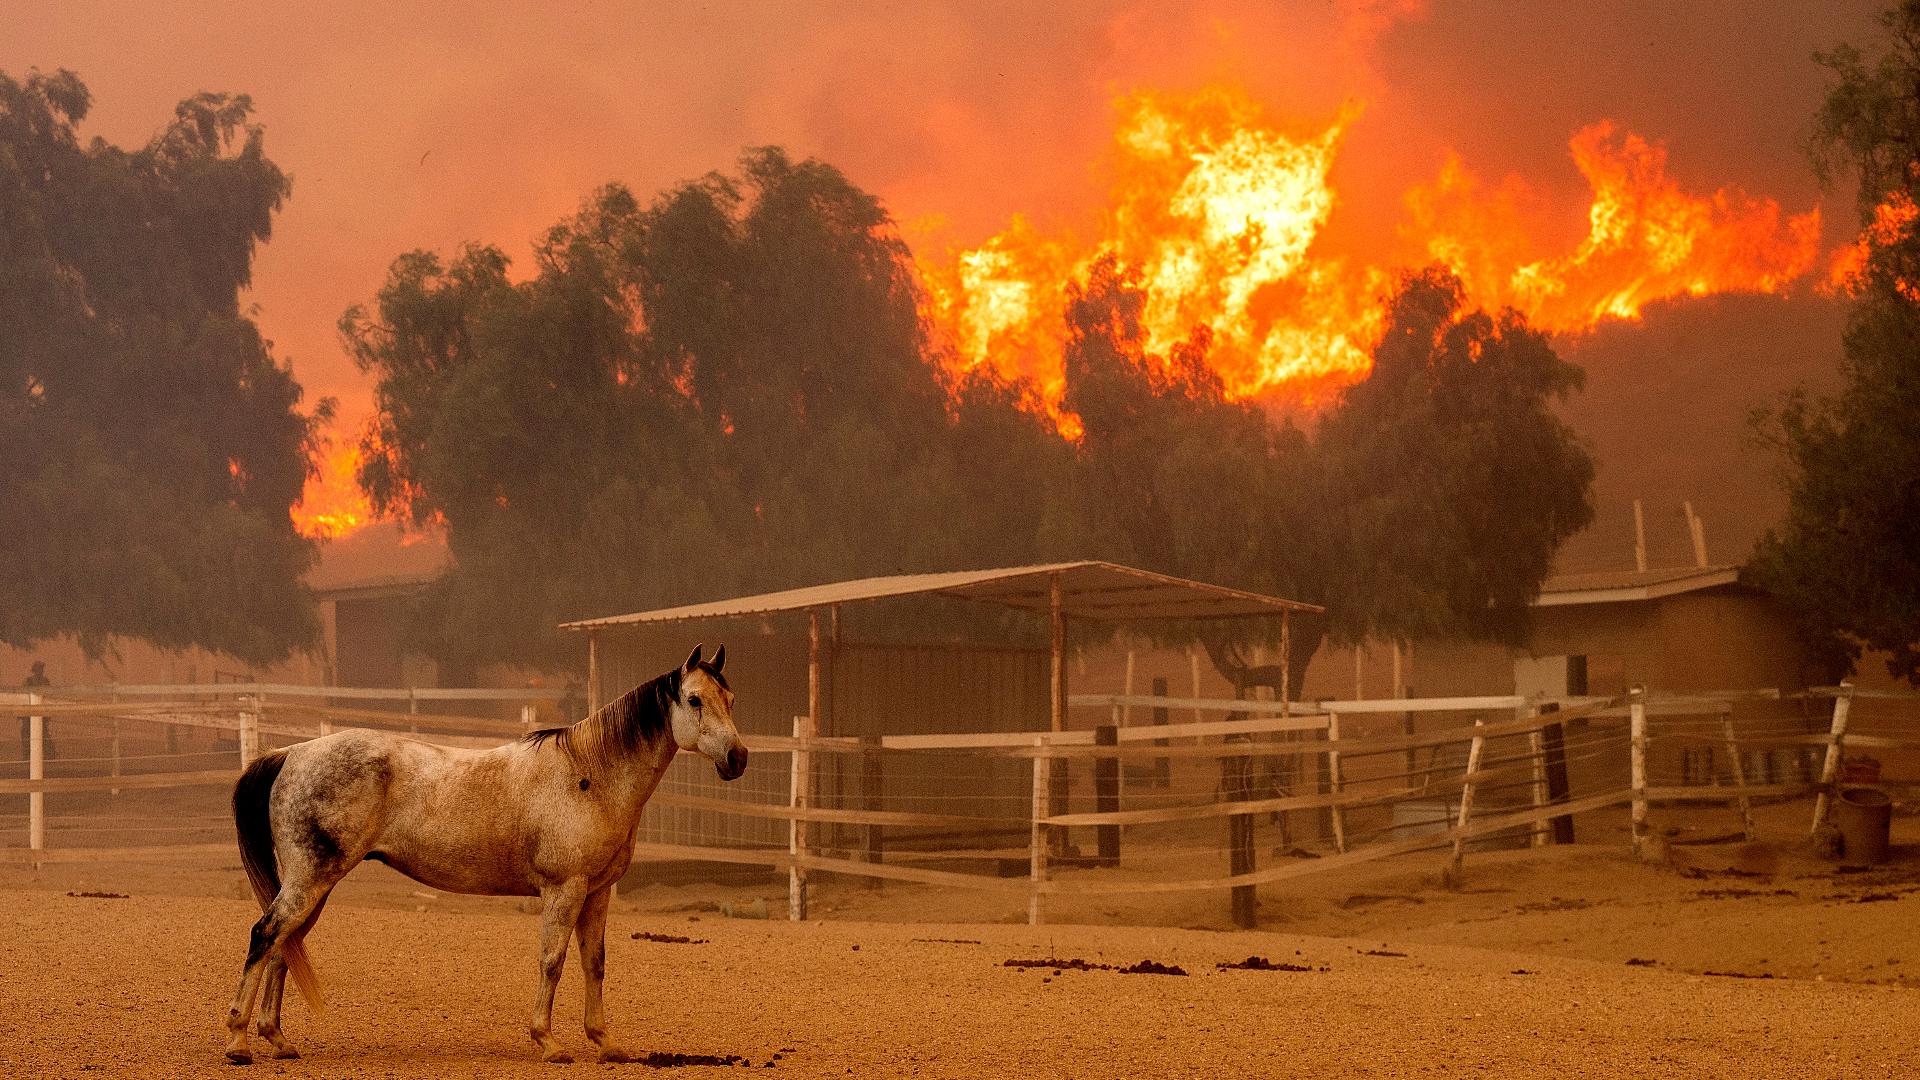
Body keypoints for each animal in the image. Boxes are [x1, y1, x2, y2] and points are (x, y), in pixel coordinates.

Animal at [219, 638, 741, 1060]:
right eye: (694, 699)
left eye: (731, 699)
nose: (737, 758)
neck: (590, 774)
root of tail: (292, 753)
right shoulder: (564, 889)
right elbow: (553, 961)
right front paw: (549, 1042)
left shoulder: (596, 893)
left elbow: (595, 964)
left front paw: (605, 1043)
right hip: (310, 880)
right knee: (265, 935)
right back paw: (239, 1041)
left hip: (313, 885)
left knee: (284, 945)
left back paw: (278, 1041)